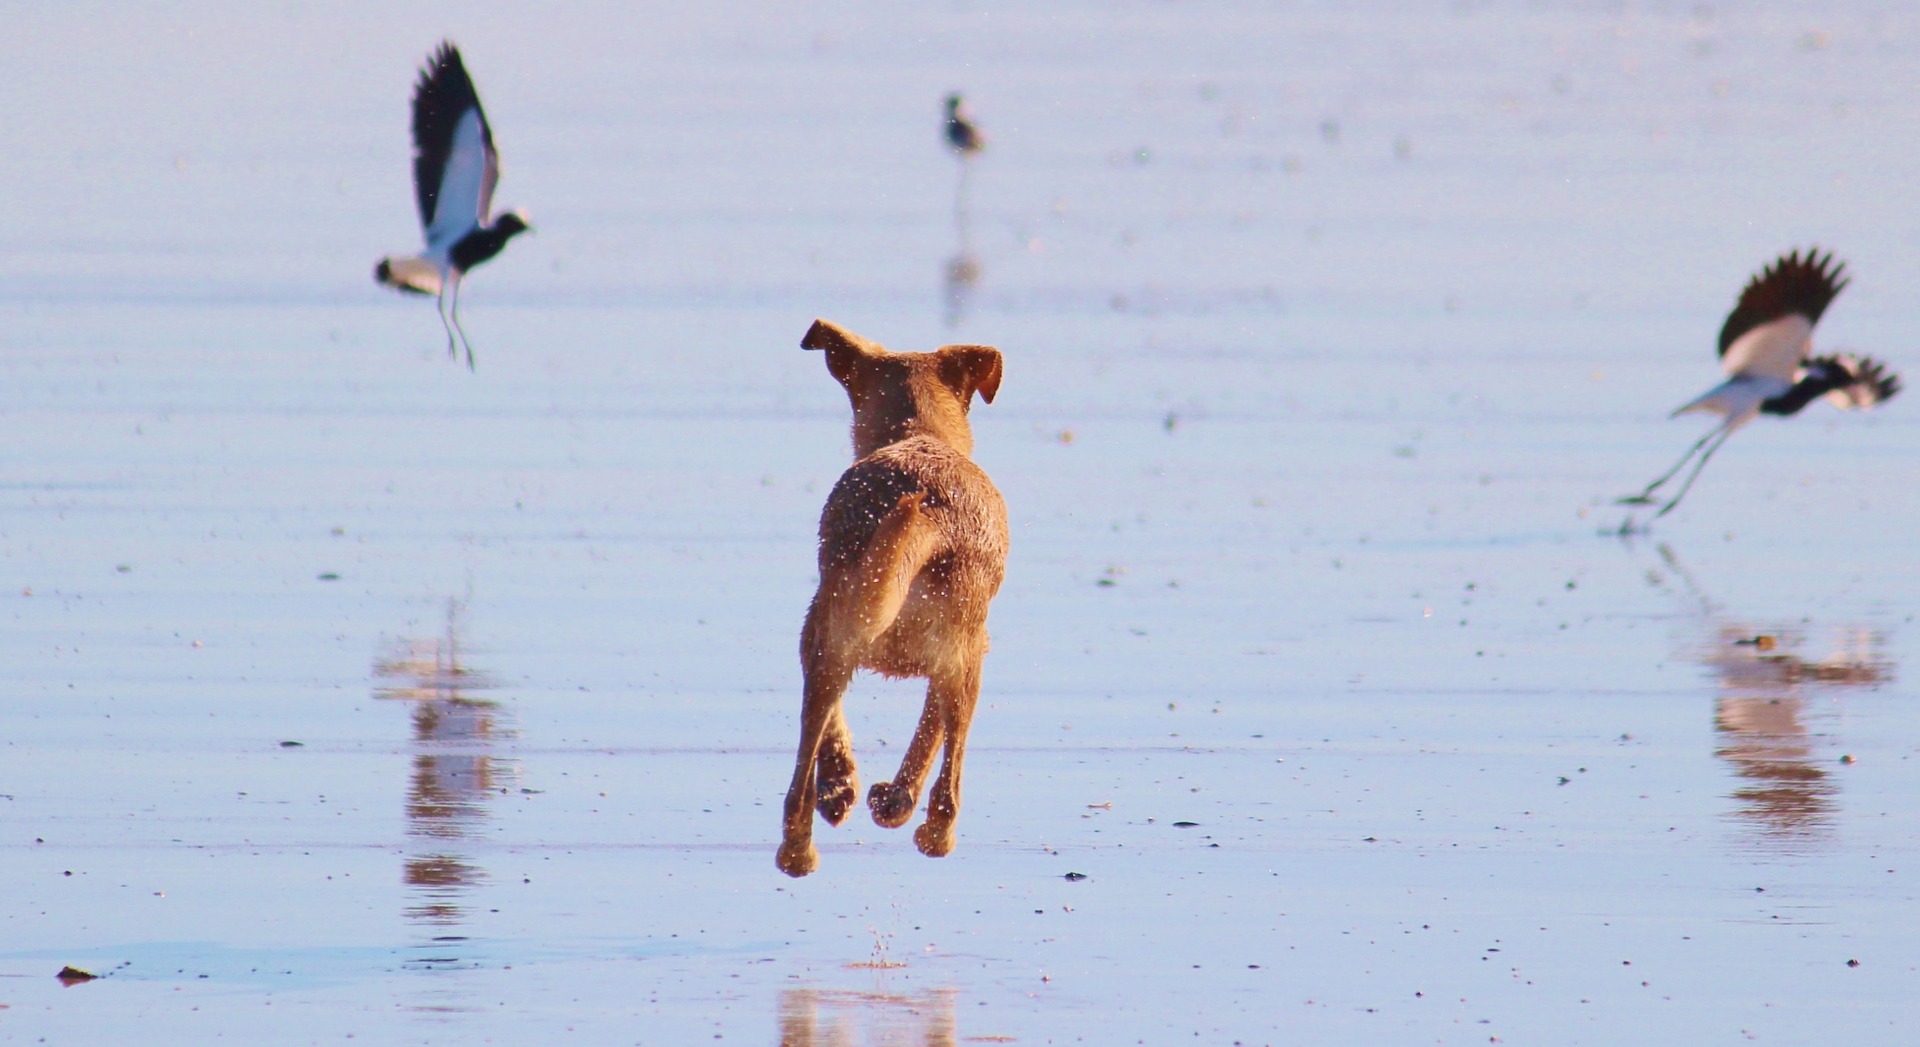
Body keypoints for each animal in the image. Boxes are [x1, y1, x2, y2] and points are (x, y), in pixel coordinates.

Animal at [771, 316, 1013, 872]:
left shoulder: (822, 630)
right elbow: (929, 732)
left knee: (801, 779)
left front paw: (853, 788)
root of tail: (930, 518)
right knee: (948, 788)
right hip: (957, 656)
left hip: (839, 633)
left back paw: (803, 844)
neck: (919, 433)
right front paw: (889, 798)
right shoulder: (969, 649)